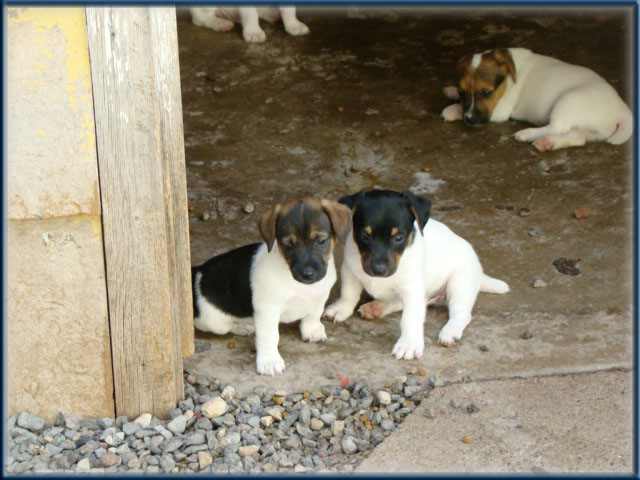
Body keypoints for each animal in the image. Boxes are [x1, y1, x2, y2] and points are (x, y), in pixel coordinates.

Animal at [191, 198, 350, 376]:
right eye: (288, 245)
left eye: (321, 241)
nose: (307, 274)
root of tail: (198, 272)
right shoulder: (267, 310)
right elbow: (269, 337)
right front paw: (269, 361)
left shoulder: (320, 296)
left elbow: (313, 314)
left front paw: (312, 330)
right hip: (213, 322)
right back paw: (242, 326)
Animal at [324, 190, 510, 360]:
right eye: (364, 235)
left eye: (398, 237)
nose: (378, 270)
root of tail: (479, 273)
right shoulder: (350, 270)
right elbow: (349, 293)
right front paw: (341, 308)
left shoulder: (412, 289)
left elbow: (410, 318)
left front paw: (409, 344)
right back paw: (377, 307)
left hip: (460, 282)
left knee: (461, 313)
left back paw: (450, 331)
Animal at [442, 47, 632, 151]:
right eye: (462, 92)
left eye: (487, 93)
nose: (470, 119)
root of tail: (622, 109)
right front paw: (451, 90)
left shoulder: (500, 110)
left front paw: (453, 109)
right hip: (586, 127)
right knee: (577, 137)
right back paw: (548, 143)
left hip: (568, 101)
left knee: (556, 127)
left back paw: (527, 134)